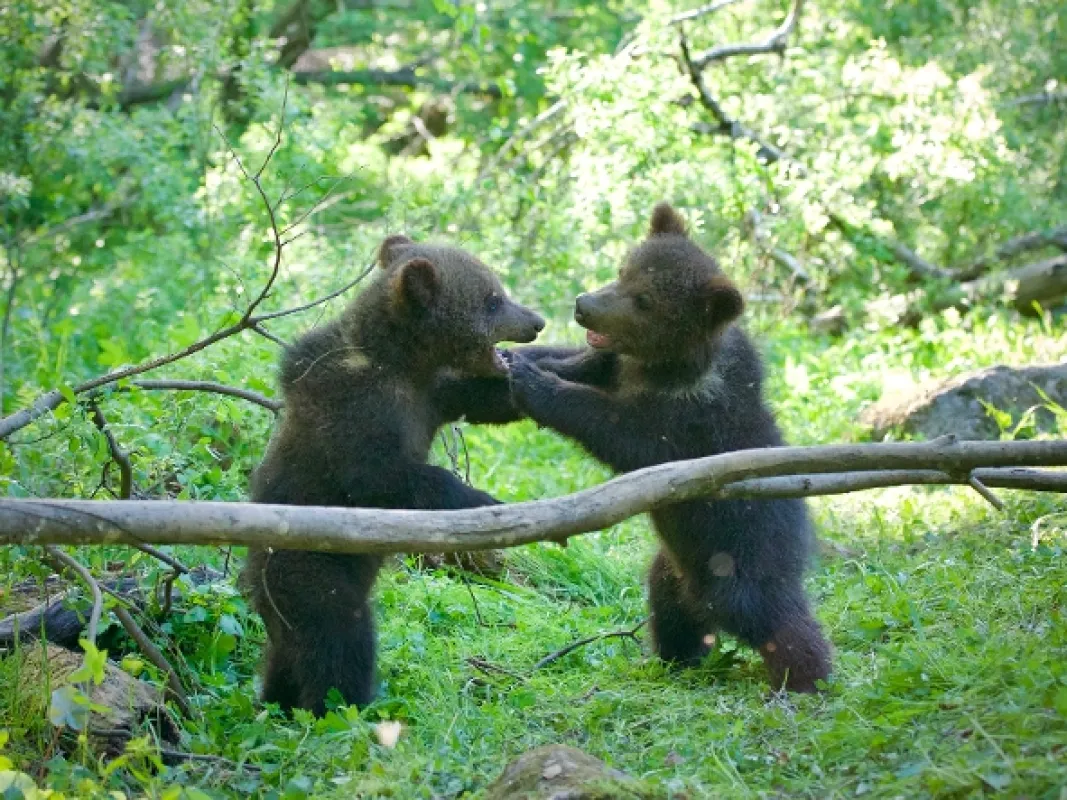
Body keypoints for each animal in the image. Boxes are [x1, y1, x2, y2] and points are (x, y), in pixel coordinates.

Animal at [239, 234, 544, 715]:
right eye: (493, 299)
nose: (536, 322)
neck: (403, 362)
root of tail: (255, 585)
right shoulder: (356, 407)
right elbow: (378, 476)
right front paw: (484, 500)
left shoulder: (434, 394)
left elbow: (483, 398)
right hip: (308, 566)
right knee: (338, 634)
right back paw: (343, 705)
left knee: (286, 655)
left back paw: (278, 700)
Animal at [505, 203, 831, 692]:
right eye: (624, 270)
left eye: (645, 301)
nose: (585, 306)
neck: (668, 368)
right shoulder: (619, 367)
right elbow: (583, 363)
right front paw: (516, 359)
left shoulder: (688, 421)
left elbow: (622, 433)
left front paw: (534, 383)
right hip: (676, 568)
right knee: (669, 607)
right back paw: (675, 658)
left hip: (743, 559)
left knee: (780, 622)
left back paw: (807, 680)